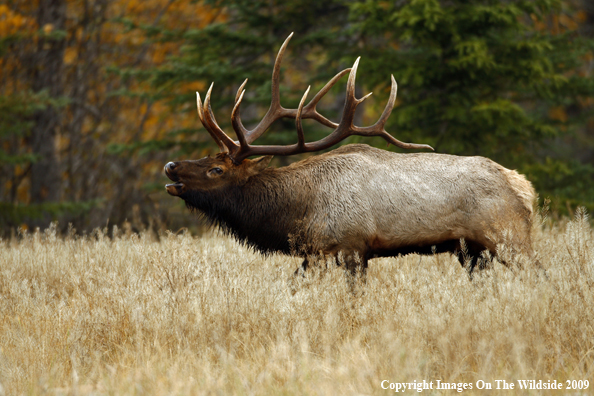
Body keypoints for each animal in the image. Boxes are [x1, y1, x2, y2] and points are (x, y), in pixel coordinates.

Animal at [163, 34, 536, 278]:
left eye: (216, 169)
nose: (170, 167)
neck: (299, 212)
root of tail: (524, 187)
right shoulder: (316, 253)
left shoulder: (352, 245)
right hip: (471, 251)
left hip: (509, 236)